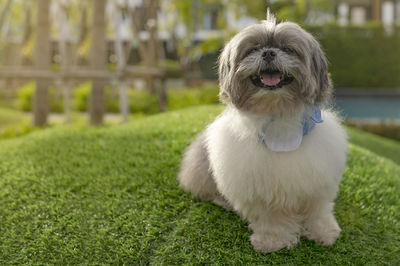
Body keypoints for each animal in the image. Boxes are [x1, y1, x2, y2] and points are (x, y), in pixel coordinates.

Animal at [178, 13, 346, 254]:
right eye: (253, 49)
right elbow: (272, 218)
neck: (278, 116)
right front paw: (273, 240)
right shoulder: (260, 192)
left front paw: (323, 232)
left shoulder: (317, 184)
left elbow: (318, 211)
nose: (268, 53)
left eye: (288, 49)